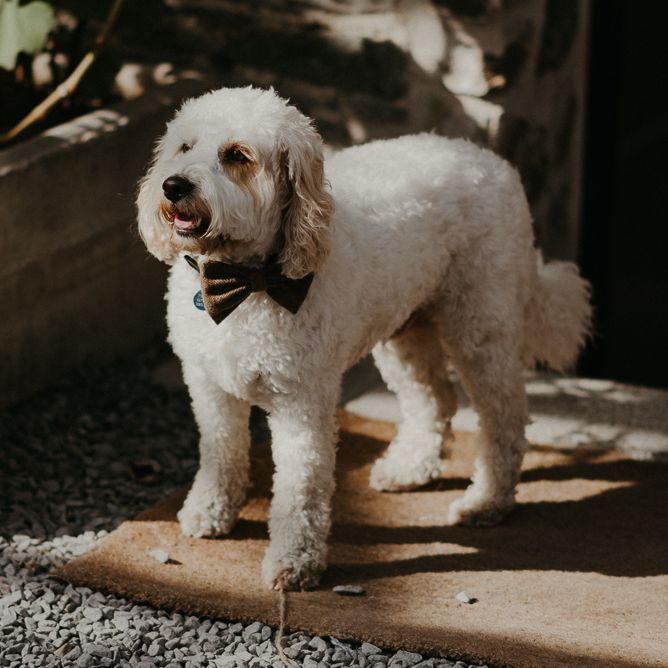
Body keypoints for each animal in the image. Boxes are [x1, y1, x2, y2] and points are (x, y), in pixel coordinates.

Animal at [137, 86, 591, 591]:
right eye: (185, 147)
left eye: (237, 155)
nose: (173, 186)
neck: (245, 283)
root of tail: (493, 161)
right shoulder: (209, 388)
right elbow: (221, 453)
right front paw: (210, 512)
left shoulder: (302, 401)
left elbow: (301, 487)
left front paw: (295, 561)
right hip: (405, 330)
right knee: (434, 399)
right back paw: (411, 467)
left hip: (480, 326)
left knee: (504, 419)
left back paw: (487, 501)